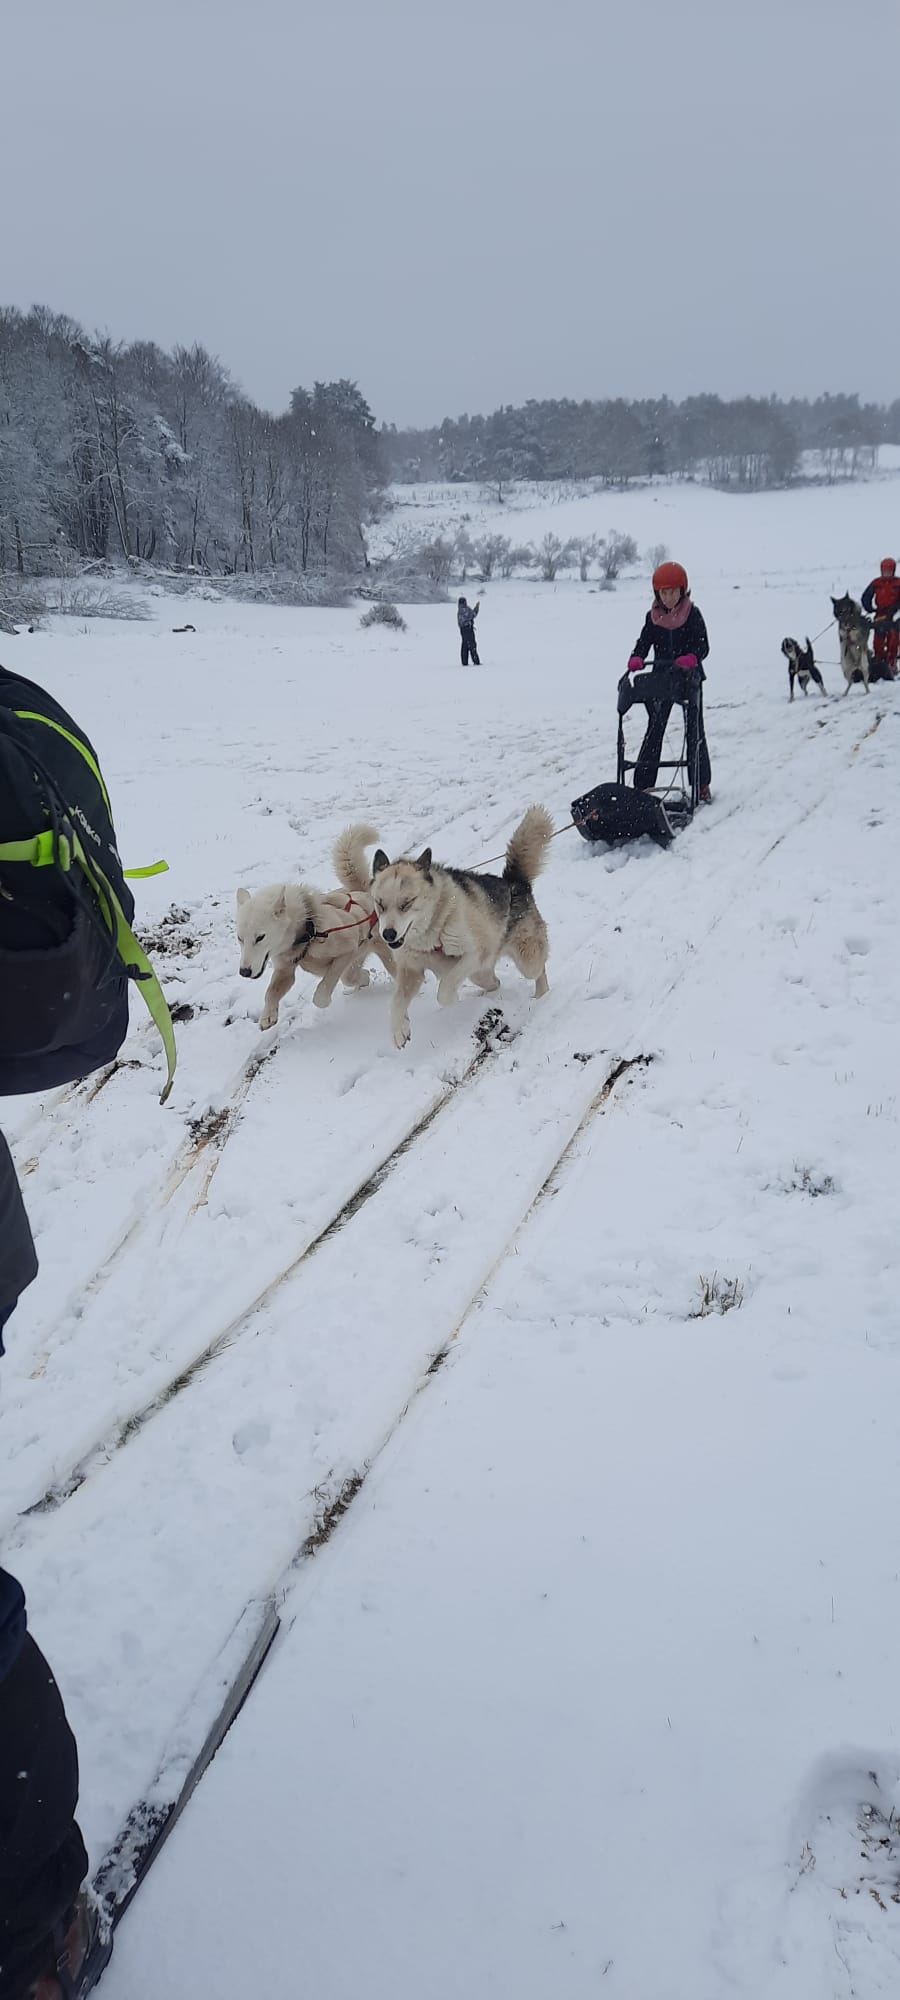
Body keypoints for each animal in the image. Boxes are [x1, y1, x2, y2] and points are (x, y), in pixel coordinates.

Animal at [236, 823, 395, 1030]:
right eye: (239, 939)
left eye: (260, 937)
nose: (244, 972)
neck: (307, 929)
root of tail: (363, 891)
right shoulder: (285, 970)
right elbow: (270, 992)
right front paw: (268, 1016)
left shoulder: (347, 950)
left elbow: (322, 993)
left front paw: (324, 998)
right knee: (352, 975)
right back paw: (363, 978)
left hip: (384, 954)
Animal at [371, 805, 554, 1050]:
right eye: (380, 904)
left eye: (406, 903)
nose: (388, 934)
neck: (432, 932)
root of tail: (515, 882)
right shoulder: (411, 970)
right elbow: (396, 1001)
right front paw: (399, 1030)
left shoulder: (474, 955)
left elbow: (445, 989)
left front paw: (452, 999)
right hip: (480, 974)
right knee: (494, 983)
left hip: (524, 961)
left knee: (538, 970)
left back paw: (542, 995)